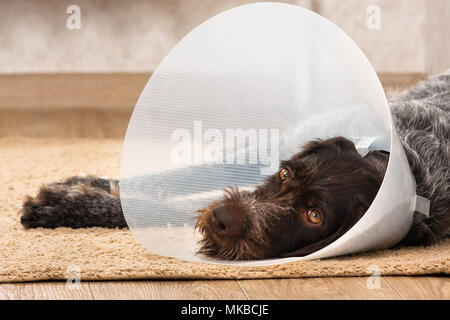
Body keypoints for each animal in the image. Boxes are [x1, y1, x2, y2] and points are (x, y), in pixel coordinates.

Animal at [19, 70, 448, 260]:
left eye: (314, 216)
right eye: (285, 174)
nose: (224, 218)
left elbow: (162, 206)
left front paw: (70, 202)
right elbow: (167, 183)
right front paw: (76, 193)